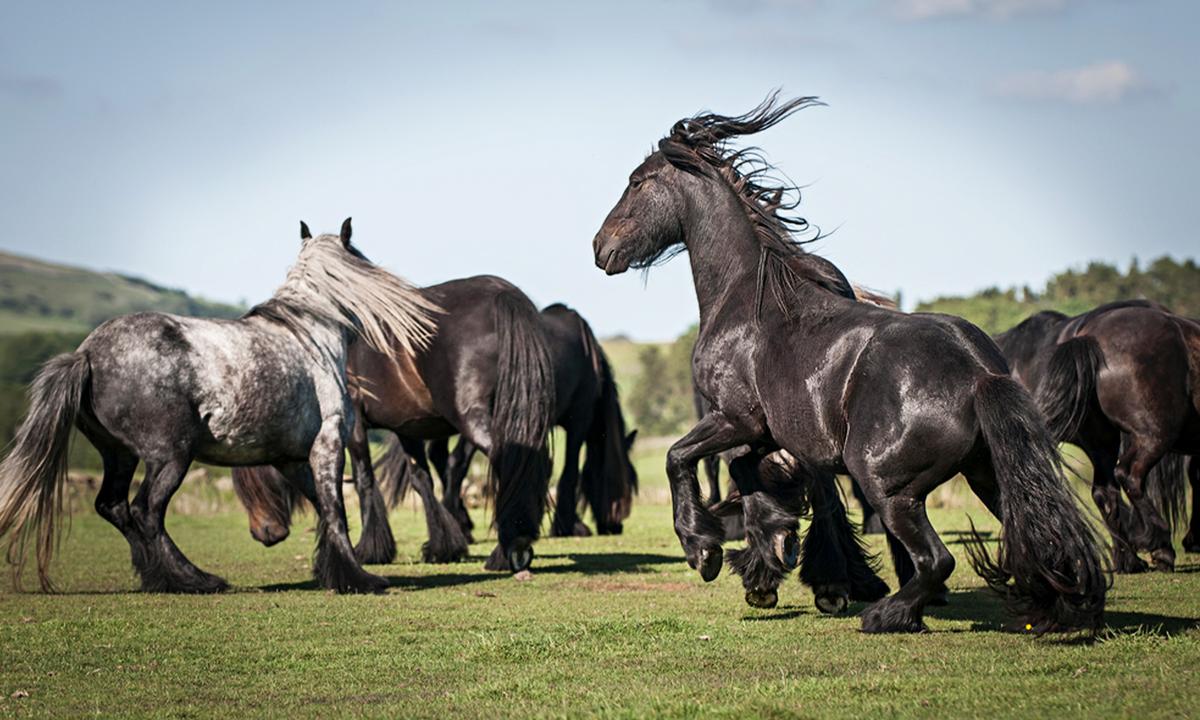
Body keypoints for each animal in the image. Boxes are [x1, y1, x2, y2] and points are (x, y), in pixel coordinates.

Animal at [0, 219, 438, 593]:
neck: (309, 336)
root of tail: (87, 354)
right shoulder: (328, 444)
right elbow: (335, 511)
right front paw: (359, 579)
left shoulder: (291, 459)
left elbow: (320, 507)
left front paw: (332, 571)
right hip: (169, 458)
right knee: (146, 511)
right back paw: (192, 579)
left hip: (120, 455)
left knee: (114, 507)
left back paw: (158, 577)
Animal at [232, 274, 556, 573]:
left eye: (249, 476)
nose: (264, 533)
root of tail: (500, 293)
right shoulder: (408, 427)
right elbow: (421, 480)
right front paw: (442, 547)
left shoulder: (353, 425)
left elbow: (363, 479)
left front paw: (369, 549)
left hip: (473, 418)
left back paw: (510, 547)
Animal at [395, 302, 639, 540]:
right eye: (629, 481)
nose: (616, 525)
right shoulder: (580, 419)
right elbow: (568, 472)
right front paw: (567, 525)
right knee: (456, 461)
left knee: (443, 457)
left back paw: (462, 522)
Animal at [591, 93, 1107, 633]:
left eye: (636, 181)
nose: (600, 246)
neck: (745, 299)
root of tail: (979, 374)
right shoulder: (766, 433)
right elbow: (750, 475)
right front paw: (770, 552)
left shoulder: (734, 418)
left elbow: (677, 457)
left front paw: (705, 550)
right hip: (986, 475)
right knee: (1034, 534)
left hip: (887, 485)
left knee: (937, 559)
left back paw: (888, 613)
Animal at [994, 300, 1200, 572]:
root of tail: (1089, 340)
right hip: (1153, 435)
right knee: (1129, 477)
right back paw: (1159, 545)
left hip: (1105, 442)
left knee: (1107, 492)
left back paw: (1130, 559)